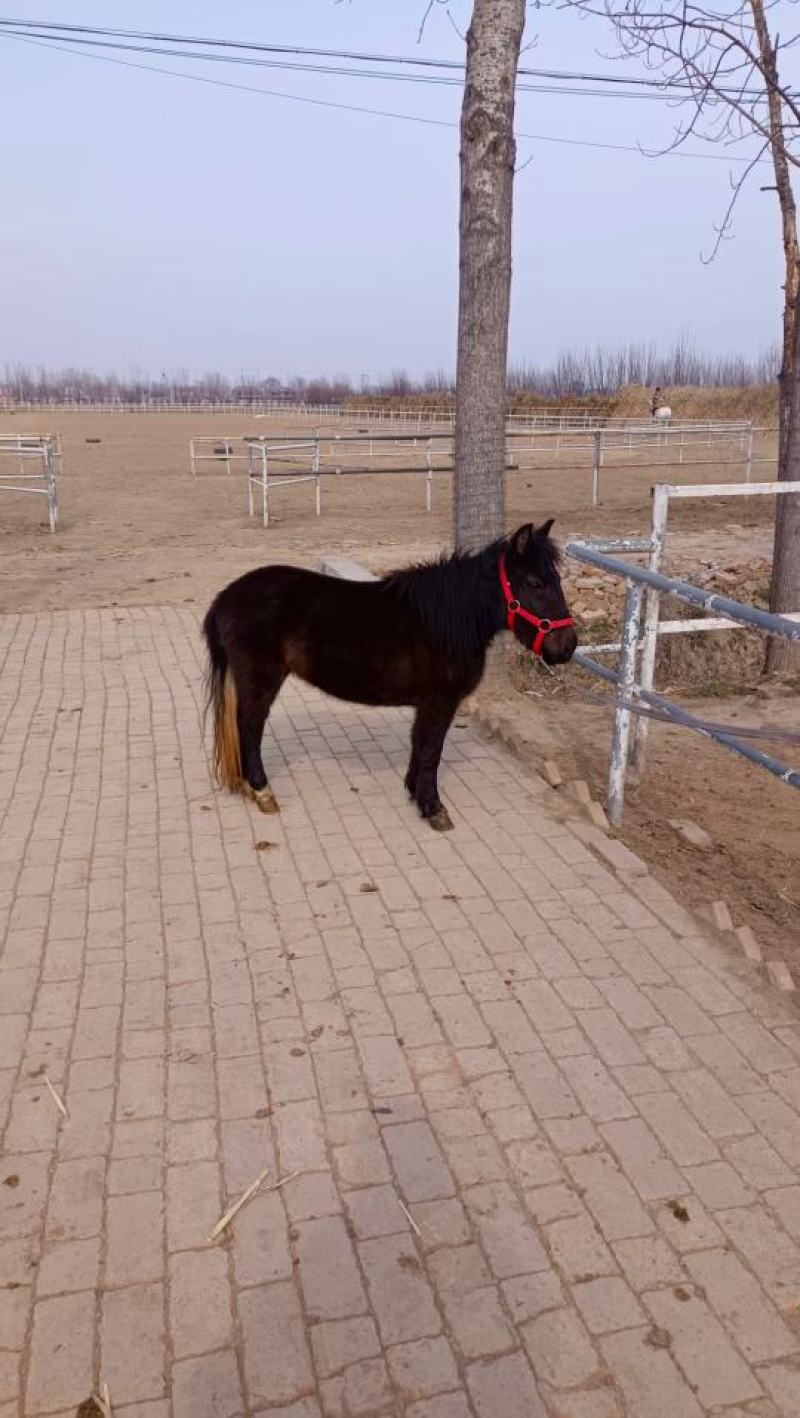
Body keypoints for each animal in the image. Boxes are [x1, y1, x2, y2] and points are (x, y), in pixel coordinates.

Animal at [203, 521, 577, 832]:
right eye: (535, 582)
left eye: (557, 580)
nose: (567, 646)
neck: (447, 620)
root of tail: (225, 596)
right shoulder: (440, 701)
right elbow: (432, 750)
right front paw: (434, 808)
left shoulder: (428, 704)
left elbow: (420, 745)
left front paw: (415, 794)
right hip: (261, 679)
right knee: (250, 728)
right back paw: (262, 790)